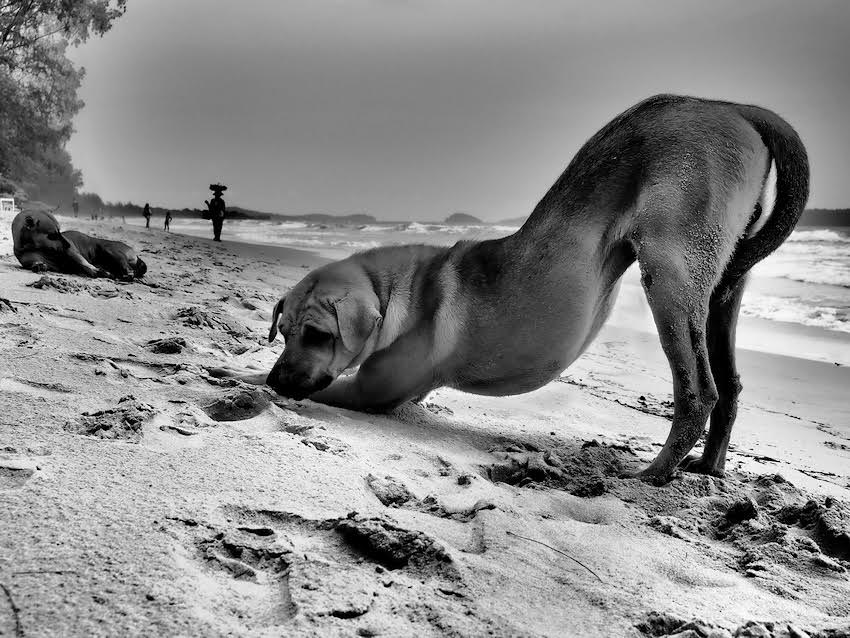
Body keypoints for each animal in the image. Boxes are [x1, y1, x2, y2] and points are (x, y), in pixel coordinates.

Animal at [11, 211, 146, 282]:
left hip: (109, 249)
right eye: (52, 235)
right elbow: (36, 264)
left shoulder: (73, 253)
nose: (67, 244)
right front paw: (38, 265)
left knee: (124, 263)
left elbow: (83, 263)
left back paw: (125, 272)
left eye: (59, 231)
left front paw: (95, 270)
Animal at [262, 95, 804, 482]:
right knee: (729, 385)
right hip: (722, 285)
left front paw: (245, 377)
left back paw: (654, 473)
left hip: (671, 275)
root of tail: (732, 107)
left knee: (699, 392)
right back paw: (709, 467)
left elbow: (333, 390)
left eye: (318, 336)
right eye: (283, 331)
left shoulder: (370, 390)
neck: (399, 290)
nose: (276, 381)